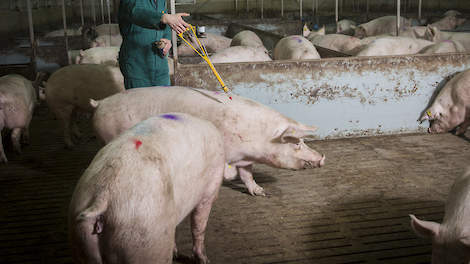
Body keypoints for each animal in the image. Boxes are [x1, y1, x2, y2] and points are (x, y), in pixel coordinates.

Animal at [68, 113, 226, 264]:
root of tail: (104, 194)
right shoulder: (209, 192)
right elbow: (199, 227)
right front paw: (205, 260)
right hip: (144, 238)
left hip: (80, 238)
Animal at [89, 86, 324, 196]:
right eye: (296, 143)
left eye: (302, 142)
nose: (322, 158)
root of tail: (100, 102)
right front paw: (226, 179)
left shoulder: (245, 158)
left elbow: (247, 175)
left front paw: (260, 192)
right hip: (111, 133)